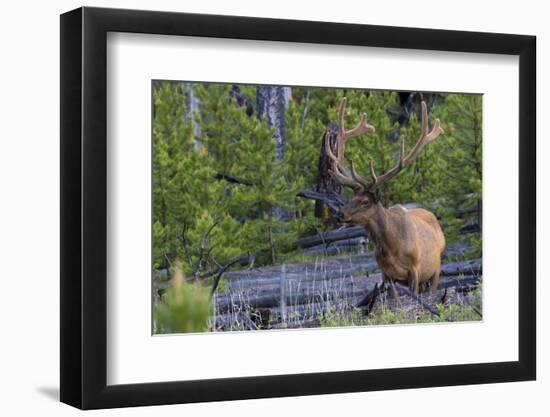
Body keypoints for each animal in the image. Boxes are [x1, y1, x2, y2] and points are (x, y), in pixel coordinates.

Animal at [328, 98, 448, 294]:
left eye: (365, 201)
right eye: (351, 199)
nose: (340, 214)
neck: (391, 248)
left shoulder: (415, 270)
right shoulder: (386, 275)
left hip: (435, 271)